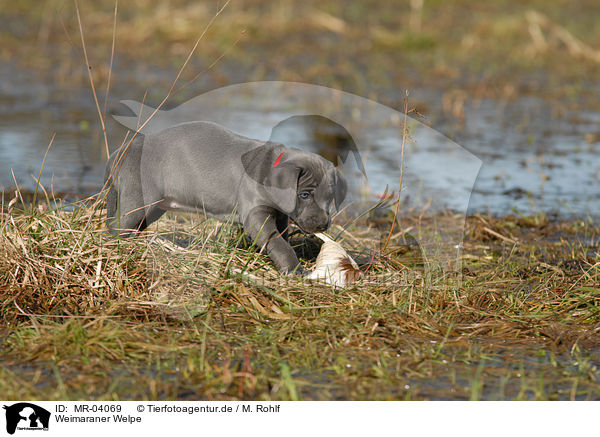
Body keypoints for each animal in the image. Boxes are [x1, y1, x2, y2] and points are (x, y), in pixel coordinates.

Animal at [104, 121, 346, 272]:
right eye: (304, 194)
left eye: (330, 197)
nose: (323, 224)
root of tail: (117, 154)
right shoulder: (255, 216)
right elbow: (278, 243)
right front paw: (294, 269)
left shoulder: (280, 215)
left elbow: (283, 237)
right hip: (138, 199)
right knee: (118, 227)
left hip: (153, 206)